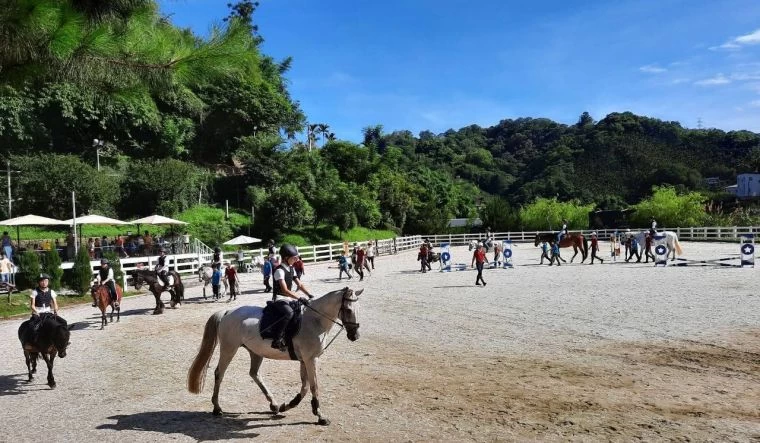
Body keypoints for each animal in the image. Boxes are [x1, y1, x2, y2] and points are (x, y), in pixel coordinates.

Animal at [187, 287, 362, 426]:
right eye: (348, 310)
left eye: (356, 310)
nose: (355, 335)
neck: (315, 320)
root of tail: (227, 312)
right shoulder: (311, 359)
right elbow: (314, 387)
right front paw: (320, 416)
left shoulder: (305, 360)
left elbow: (305, 387)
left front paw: (288, 405)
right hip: (229, 349)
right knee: (219, 373)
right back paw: (217, 408)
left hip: (255, 352)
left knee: (254, 374)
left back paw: (274, 405)